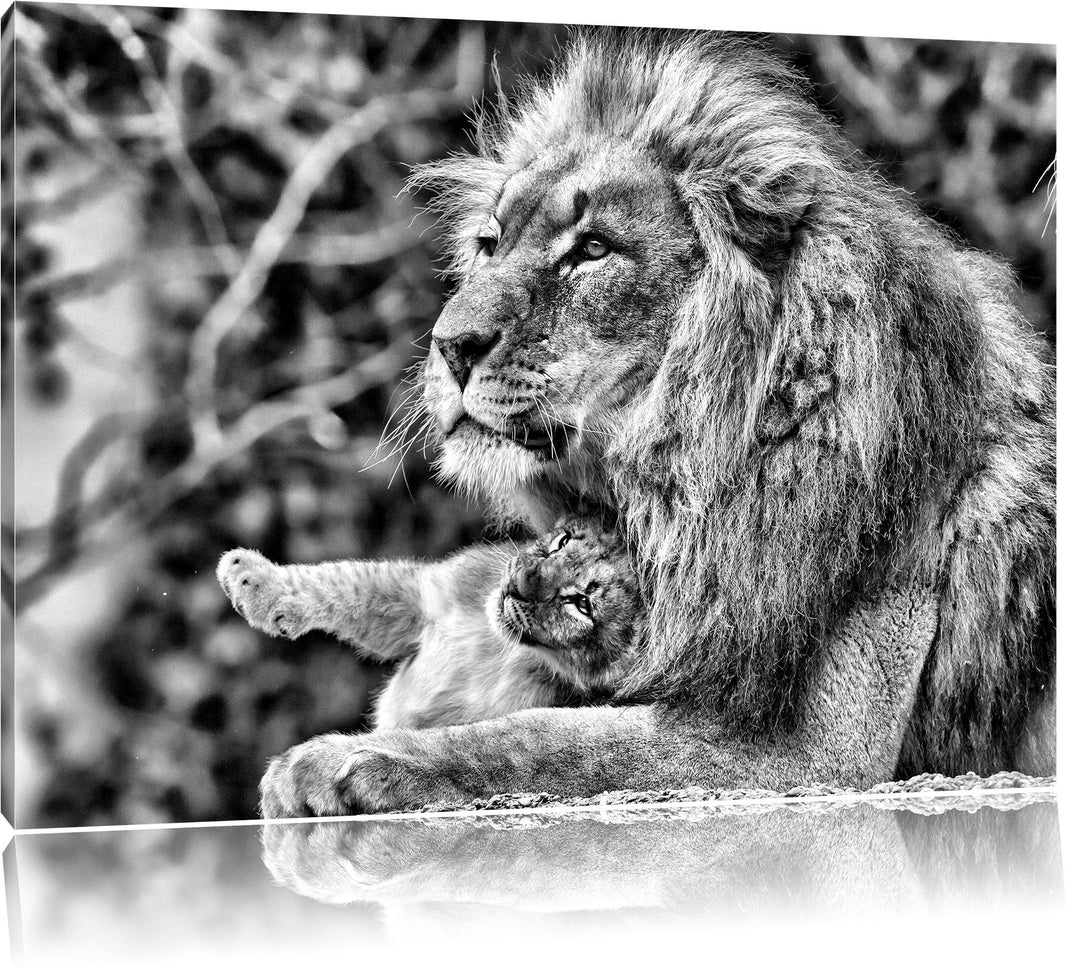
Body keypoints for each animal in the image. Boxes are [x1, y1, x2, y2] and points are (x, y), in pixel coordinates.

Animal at [257, 28, 1055, 818]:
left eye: (592, 249)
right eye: (490, 244)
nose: (450, 346)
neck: (692, 475)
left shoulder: (814, 755)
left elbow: (544, 739)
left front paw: (345, 759)